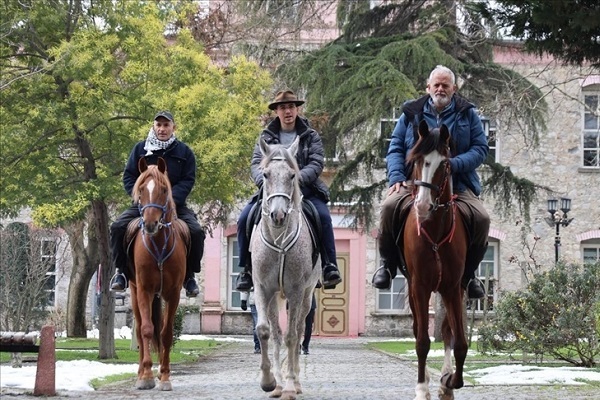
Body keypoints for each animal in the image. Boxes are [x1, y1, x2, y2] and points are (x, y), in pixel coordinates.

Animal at [128, 157, 188, 390]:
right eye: (141, 189)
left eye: (163, 189)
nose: (150, 224)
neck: (159, 244)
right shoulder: (144, 290)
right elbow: (146, 329)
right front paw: (146, 376)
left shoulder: (173, 293)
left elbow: (166, 333)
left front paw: (164, 376)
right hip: (134, 291)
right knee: (138, 330)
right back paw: (139, 373)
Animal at [251, 136, 322, 398]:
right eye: (266, 174)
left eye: (292, 175)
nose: (278, 215)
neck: (279, 241)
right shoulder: (262, 288)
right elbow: (265, 331)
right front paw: (269, 381)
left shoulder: (296, 290)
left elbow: (293, 336)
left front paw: (291, 385)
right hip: (274, 298)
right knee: (277, 334)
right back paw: (279, 384)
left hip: (306, 296)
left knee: (299, 331)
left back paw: (295, 383)